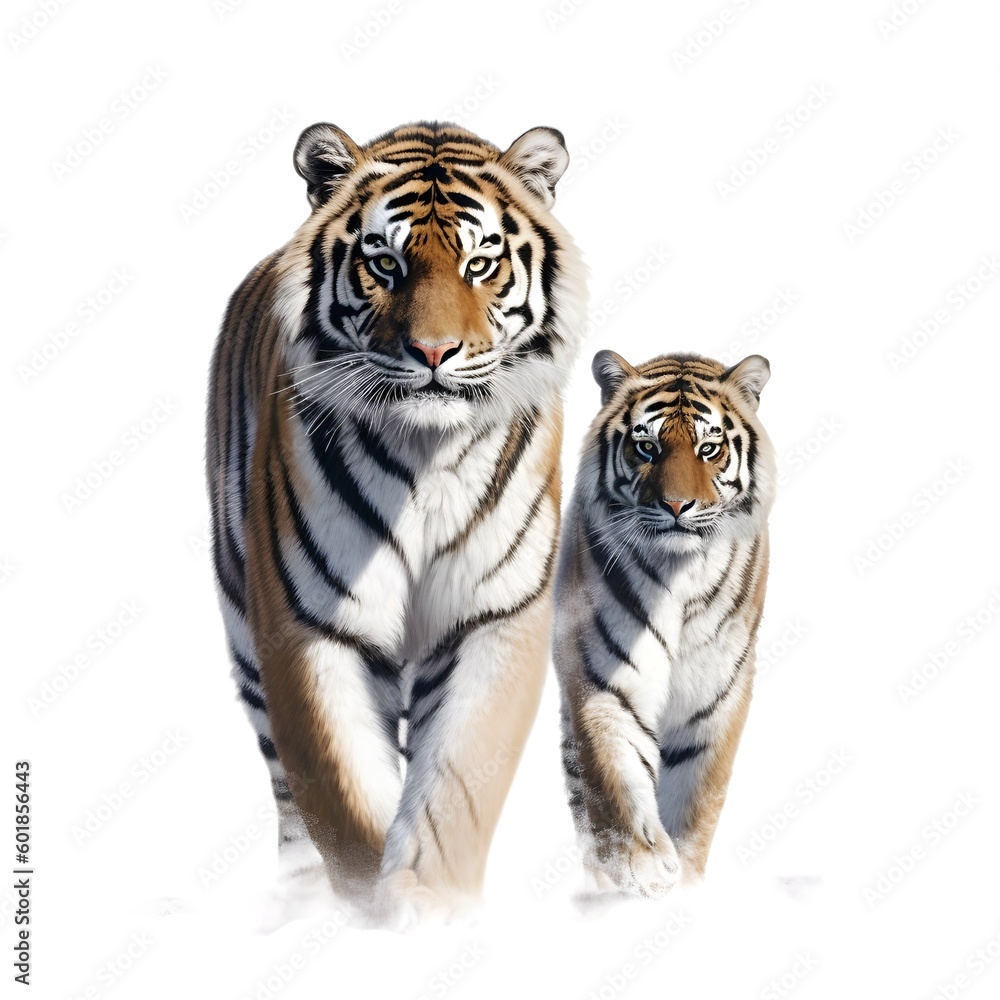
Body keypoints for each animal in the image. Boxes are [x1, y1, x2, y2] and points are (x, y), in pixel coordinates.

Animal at [205, 120, 586, 923]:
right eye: (385, 262)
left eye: (480, 263)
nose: (434, 352)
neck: (425, 456)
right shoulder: (312, 628)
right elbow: (342, 793)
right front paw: (368, 913)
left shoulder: (492, 617)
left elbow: (456, 787)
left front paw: (431, 905)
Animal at [552, 349, 775, 897]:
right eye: (646, 447)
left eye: (709, 448)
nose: (677, 506)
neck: (679, 574)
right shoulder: (602, 678)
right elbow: (614, 775)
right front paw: (643, 867)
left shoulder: (718, 692)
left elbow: (698, 794)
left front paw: (686, 877)